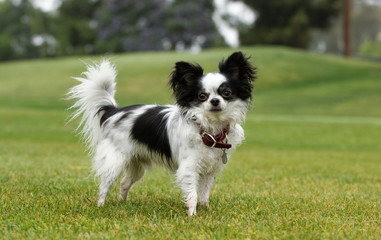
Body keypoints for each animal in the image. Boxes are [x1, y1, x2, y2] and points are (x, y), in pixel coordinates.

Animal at [67, 51, 255, 216]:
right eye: (202, 96)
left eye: (226, 93)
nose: (215, 101)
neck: (209, 128)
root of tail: (115, 111)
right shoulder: (188, 169)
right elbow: (193, 194)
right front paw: (192, 215)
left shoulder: (210, 170)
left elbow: (204, 194)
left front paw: (206, 210)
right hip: (115, 161)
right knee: (104, 186)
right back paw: (101, 206)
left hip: (136, 165)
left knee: (124, 183)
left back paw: (123, 204)